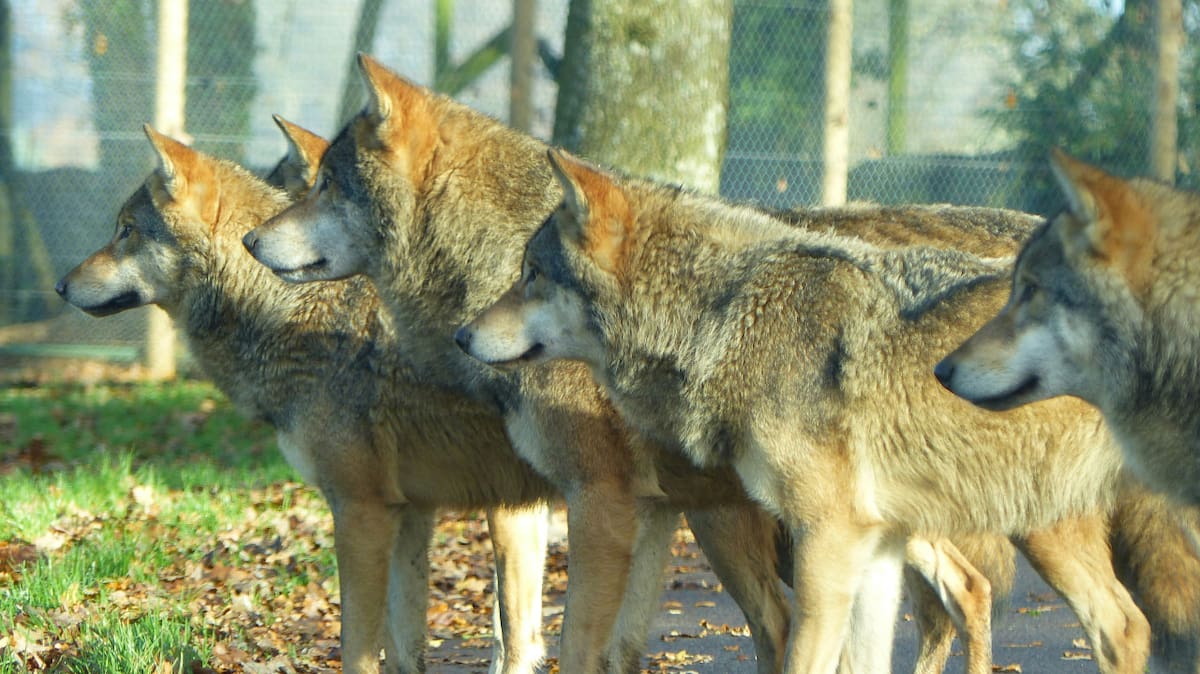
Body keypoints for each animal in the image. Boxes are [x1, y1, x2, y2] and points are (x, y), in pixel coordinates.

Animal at [54, 122, 560, 674]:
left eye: (126, 231)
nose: (60, 285)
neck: (289, 310)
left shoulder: (363, 511)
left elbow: (361, 647)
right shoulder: (413, 512)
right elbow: (406, 648)